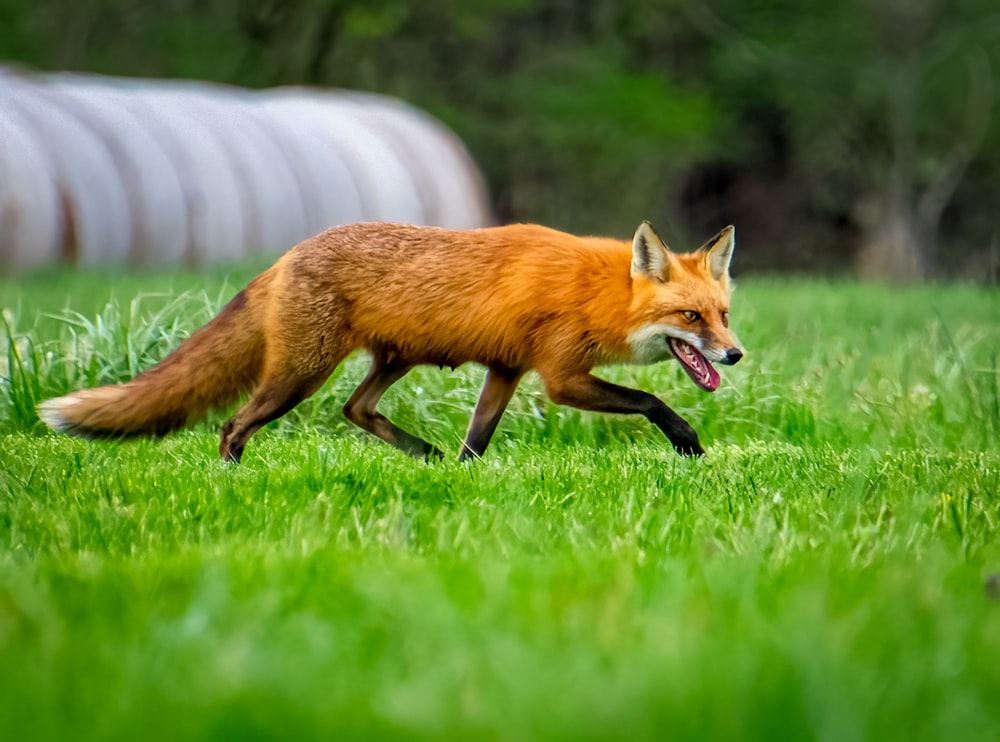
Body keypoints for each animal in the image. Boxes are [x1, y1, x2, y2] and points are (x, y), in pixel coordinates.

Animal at [37, 222, 744, 464]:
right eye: (691, 317)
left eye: (725, 315)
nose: (736, 355)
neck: (593, 293)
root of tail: (288, 253)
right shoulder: (560, 377)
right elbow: (652, 402)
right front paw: (687, 444)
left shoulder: (506, 370)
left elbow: (477, 441)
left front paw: (464, 477)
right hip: (298, 376)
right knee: (233, 425)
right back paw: (232, 478)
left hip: (391, 361)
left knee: (356, 409)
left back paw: (424, 456)